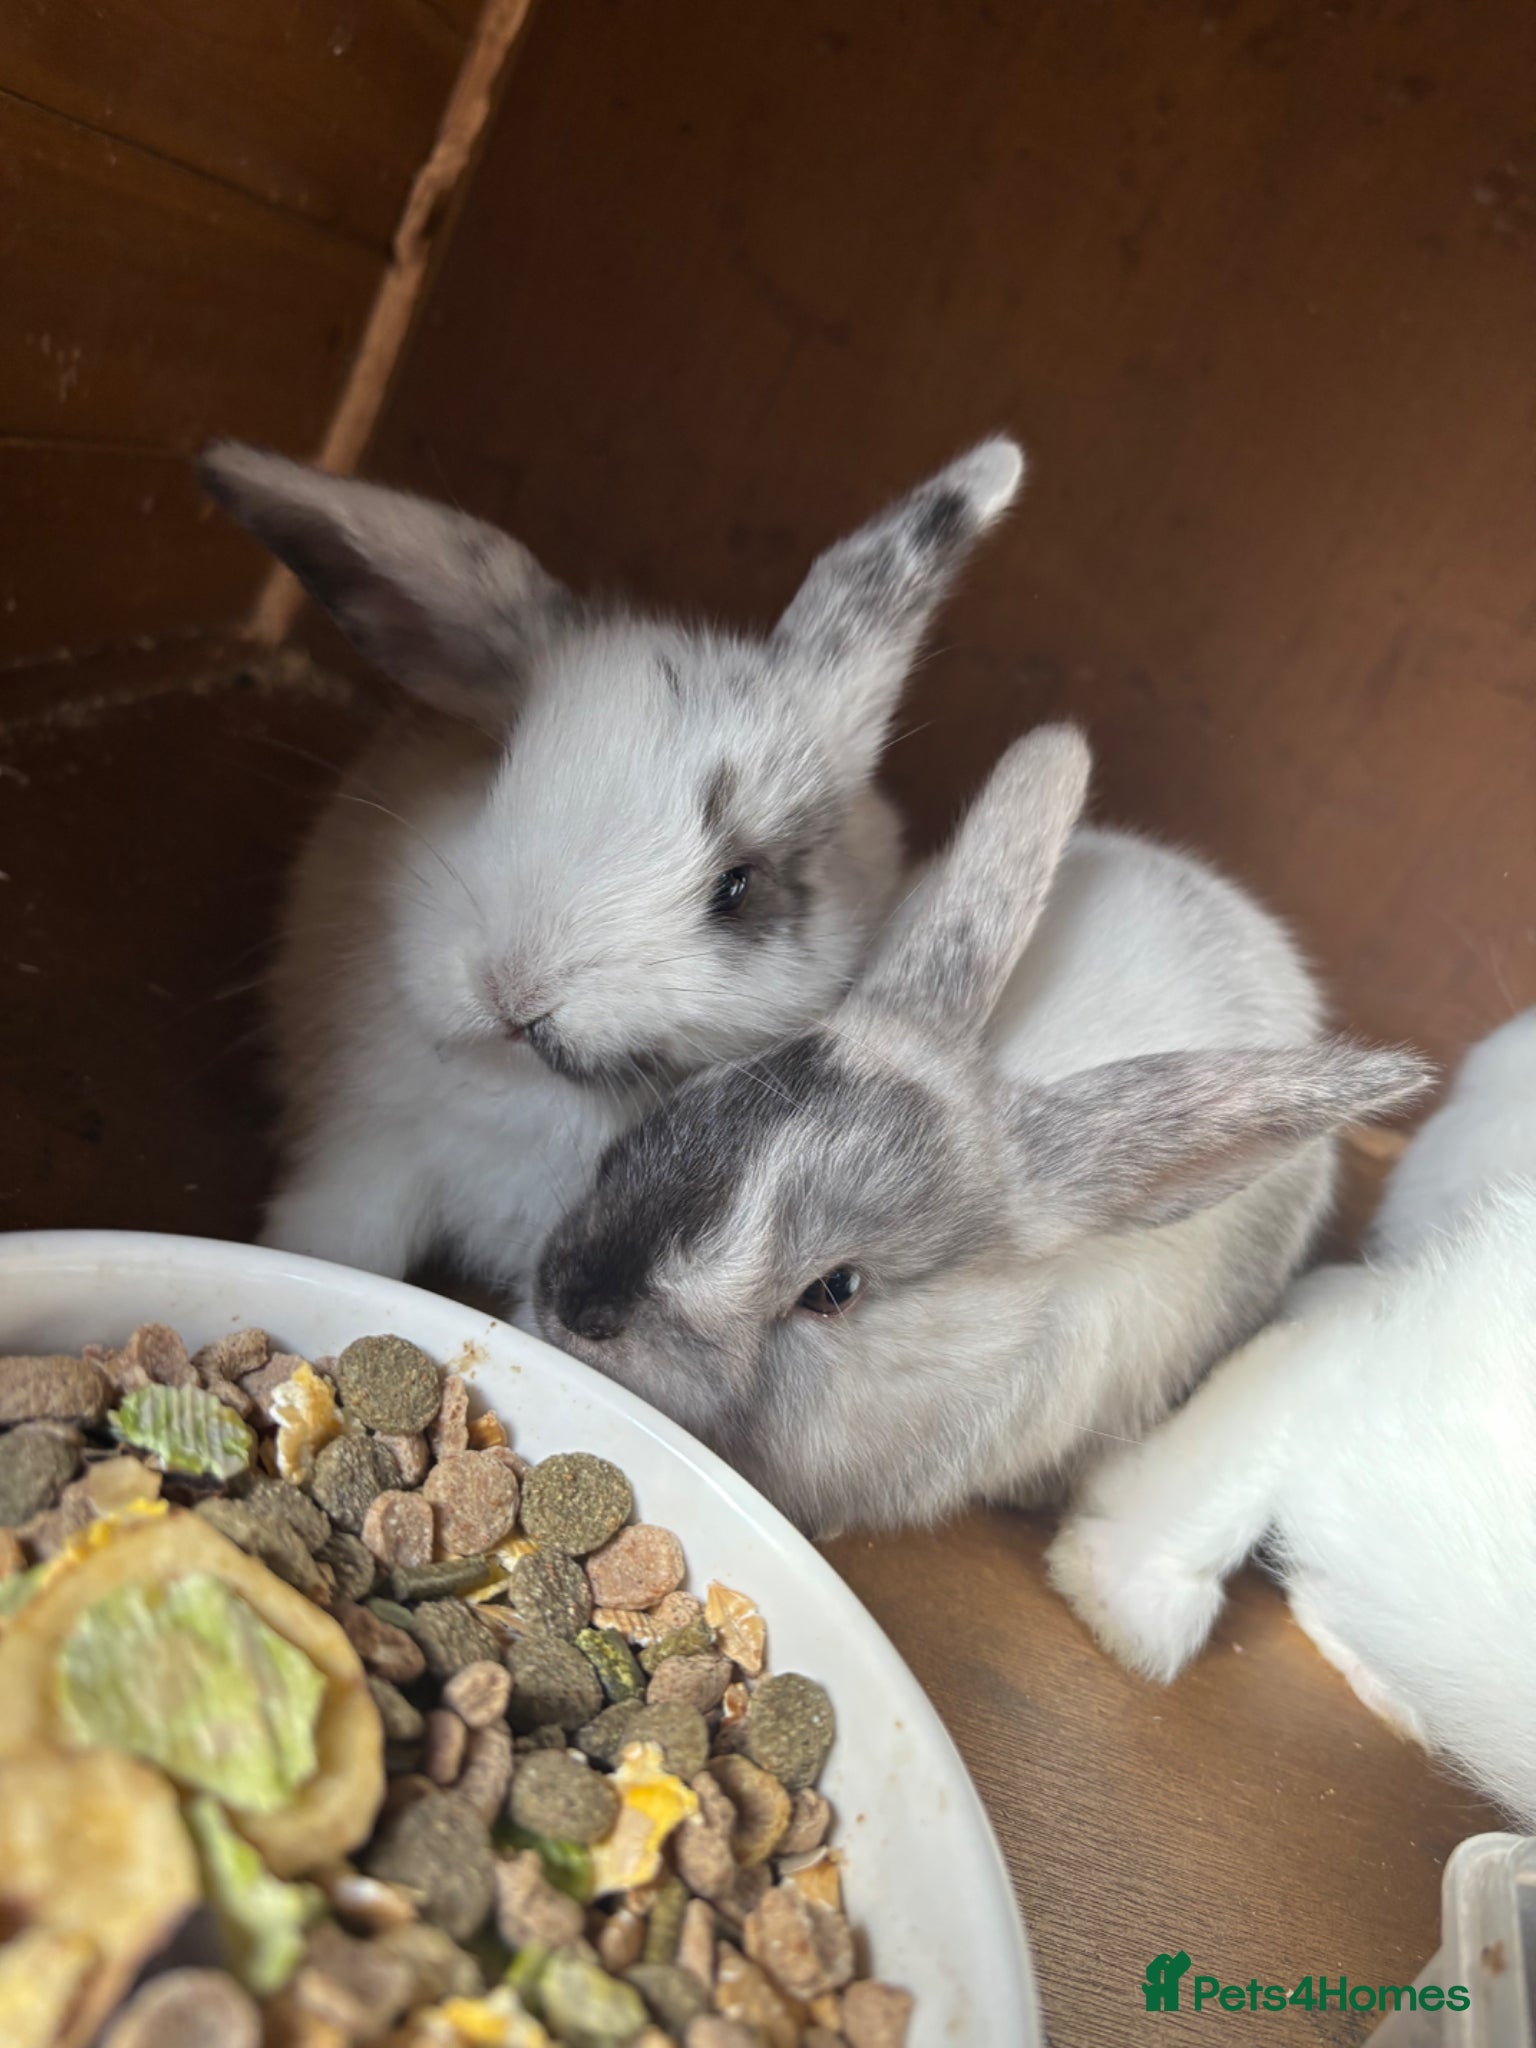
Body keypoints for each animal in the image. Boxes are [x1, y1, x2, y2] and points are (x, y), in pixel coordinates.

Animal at [199, 435, 1028, 1313]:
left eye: (736, 886)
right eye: (496, 773)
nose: (513, 992)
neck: (521, 1085)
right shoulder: (366, 1150)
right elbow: (333, 1241)